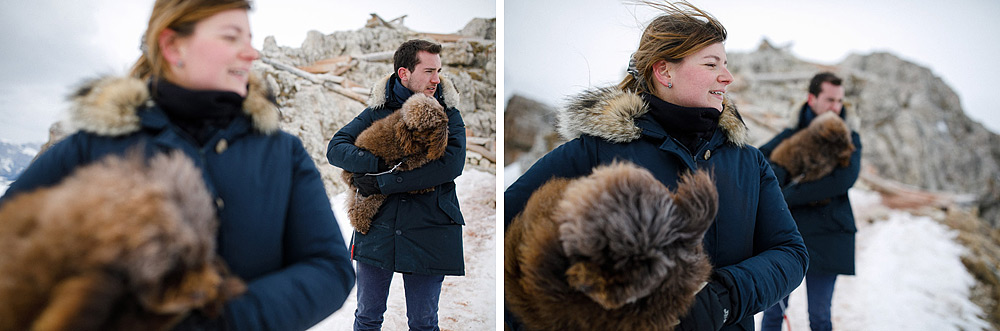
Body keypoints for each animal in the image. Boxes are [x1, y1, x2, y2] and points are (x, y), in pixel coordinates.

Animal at [346, 92, 452, 233]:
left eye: (430, 127)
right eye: (414, 128)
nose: (422, 138)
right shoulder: (406, 158)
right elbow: (419, 160)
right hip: (373, 191)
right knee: (360, 208)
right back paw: (361, 225)